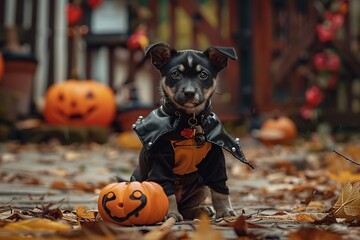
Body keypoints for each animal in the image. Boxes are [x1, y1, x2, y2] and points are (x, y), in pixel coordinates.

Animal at [131, 42, 252, 220]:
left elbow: (219, 188)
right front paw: (171, 213)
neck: (189, 120)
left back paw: (202, 210)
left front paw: (224, 211)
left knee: (187, 206)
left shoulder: (215, 159)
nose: (189, 93)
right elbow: (166, 191)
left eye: (203, 75)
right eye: (175, 74)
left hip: (201, 186)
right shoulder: (161, 160)